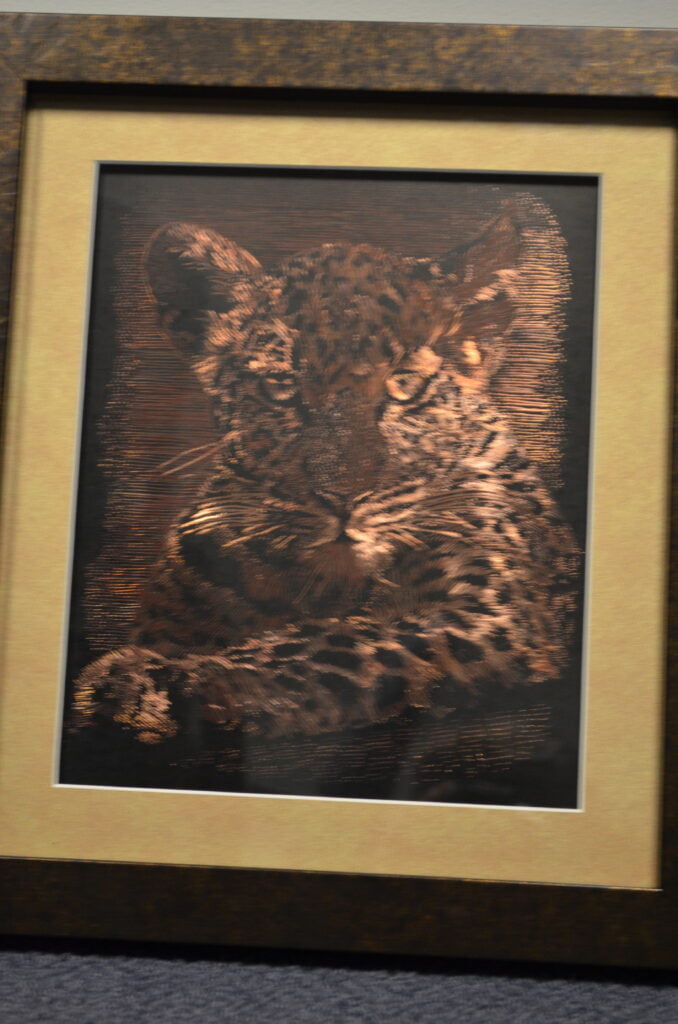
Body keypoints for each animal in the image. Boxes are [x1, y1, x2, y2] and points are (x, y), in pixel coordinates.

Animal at [71, 211, 579, 753]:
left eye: (404, 385)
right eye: (281, 387)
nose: (343, 497)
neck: (323, 583)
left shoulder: (488, 612)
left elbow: (334, 642)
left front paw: (147, 683)